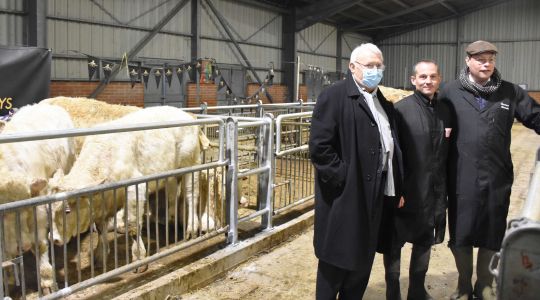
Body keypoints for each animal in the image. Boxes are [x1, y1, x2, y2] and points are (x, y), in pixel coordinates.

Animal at [46, 106, 206, 272]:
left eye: (67, 211)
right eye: (47, 210)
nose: (53, 239)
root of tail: (184, 113)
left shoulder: (136, 189)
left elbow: (132, 224)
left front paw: (138, 258)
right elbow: (101, 227)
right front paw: (100, 255)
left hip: (192, 164)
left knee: (191, 195)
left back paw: (191, 229)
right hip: (171, 174)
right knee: (172, 196)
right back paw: (169, 222)